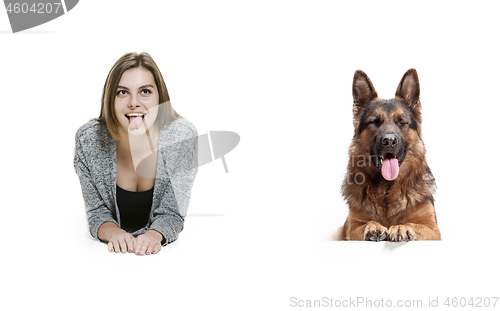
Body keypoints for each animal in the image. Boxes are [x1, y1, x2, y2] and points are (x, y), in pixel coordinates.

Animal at [338, 69, 440, 243]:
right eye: (374, 122)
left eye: (402, 122)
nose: (389, 141)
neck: (387, 188)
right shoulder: (351, 228)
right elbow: (365, 224)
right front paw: (373, 227)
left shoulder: (433, 229)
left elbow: (413, 224)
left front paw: (401, 227)